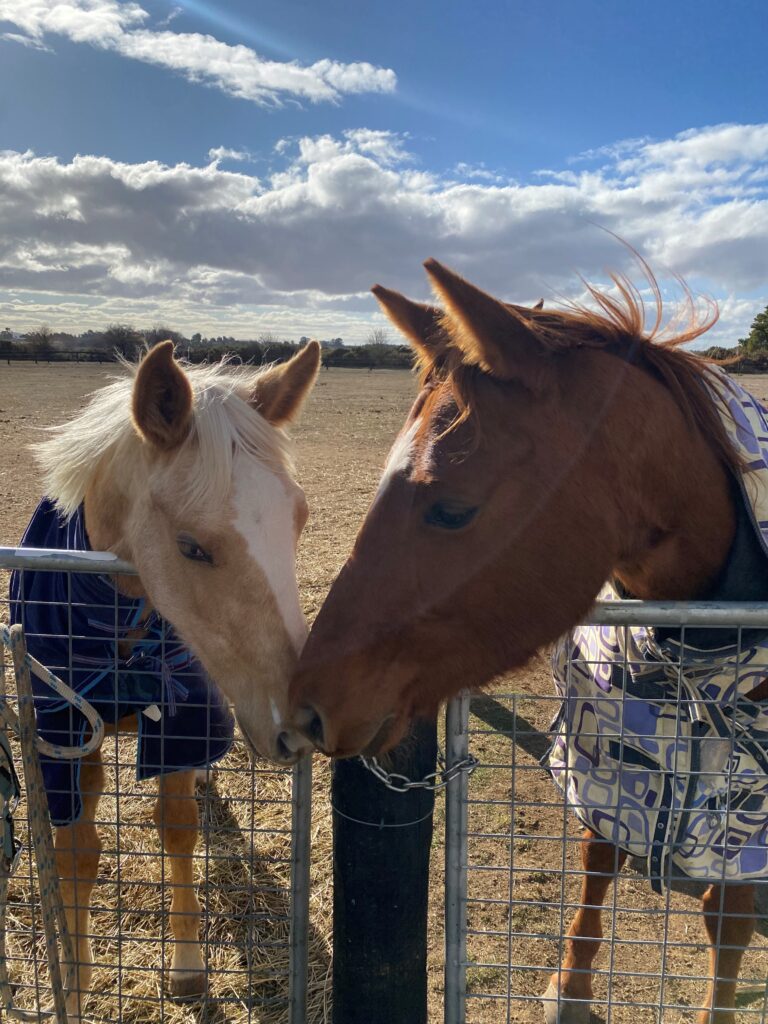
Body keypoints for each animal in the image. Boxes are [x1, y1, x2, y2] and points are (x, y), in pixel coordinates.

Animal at [10, 339, 319, 1018]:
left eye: (299, 518)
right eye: (191, 546)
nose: (301, 719)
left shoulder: (180, 730)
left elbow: (177, 829)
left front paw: (185, 966)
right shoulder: (60, 734)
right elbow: (77, 852)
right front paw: (75, 978)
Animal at [287, 261, 768, 1024]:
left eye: (452, 509)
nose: (309, 704)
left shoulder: (746, 826)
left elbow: (729, 921)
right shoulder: (608, 762)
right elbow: (597, 860)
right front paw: (569, 988)